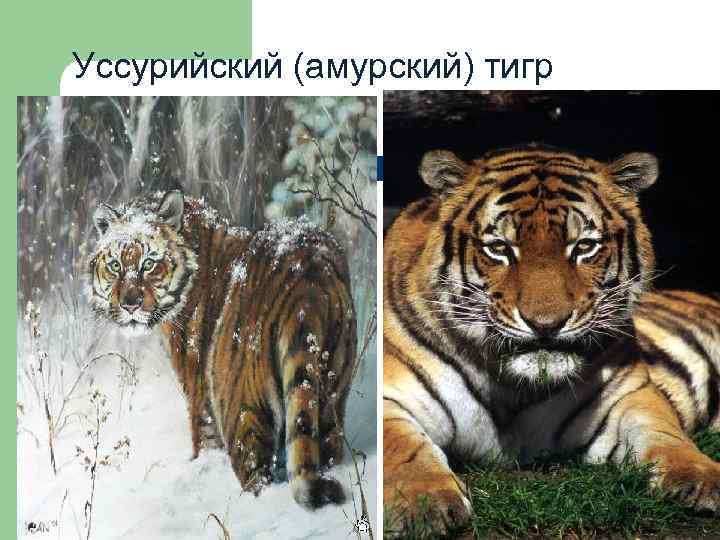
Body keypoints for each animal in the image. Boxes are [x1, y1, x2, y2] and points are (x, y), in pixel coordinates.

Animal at [86, 189, 357, 509]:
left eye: (149, 263)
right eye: (115, 265)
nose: (129, 304)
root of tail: (307, 279)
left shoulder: (201, 402)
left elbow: (204, 443)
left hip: (244, 408)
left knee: (257, 476)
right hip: (330, 399)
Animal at [383, 145, 720, 533]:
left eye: (584, 247)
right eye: (500, 248)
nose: (546, 325)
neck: (513, 387)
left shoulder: (628, 395)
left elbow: (666, 435)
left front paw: (703, 478)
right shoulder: (390, 397)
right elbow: (402, 448)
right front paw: (423, 504)